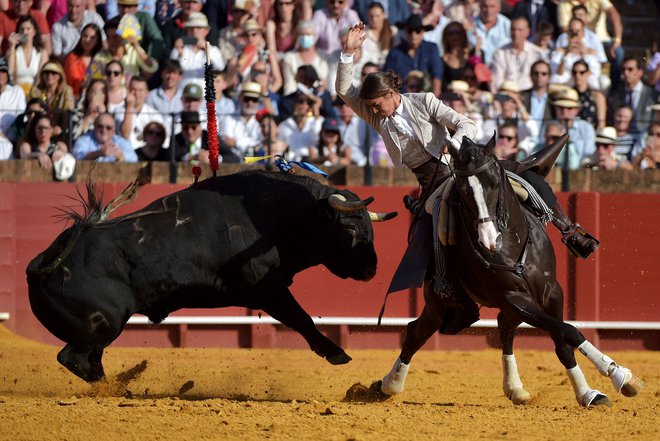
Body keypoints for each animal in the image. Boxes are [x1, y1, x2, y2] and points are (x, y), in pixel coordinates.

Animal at [24, 170, 398, 380]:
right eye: (350, 227)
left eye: (370, 229)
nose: (371, 269)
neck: (278, 214)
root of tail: (39, 264)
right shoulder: (266, 288)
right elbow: (301, 318)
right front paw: (336, 352)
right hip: (105, 323)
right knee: (73, 357)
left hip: (101, 329)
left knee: (88, 359)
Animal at [378, 133, 640, 406]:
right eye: (462, 190)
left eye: (494, 182)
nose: (489, 240)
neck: (512, 244)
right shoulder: (513, 297)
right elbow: (567, 331)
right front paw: (618, 375)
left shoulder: (551, 291)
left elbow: (562, 340)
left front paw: (591, 390)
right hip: (442, 304)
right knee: (417, 332)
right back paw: (389, 384)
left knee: (502, 327)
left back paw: (514, 387)